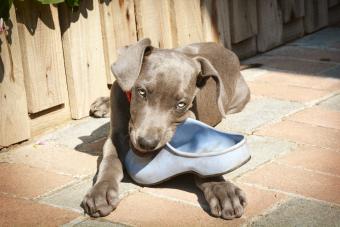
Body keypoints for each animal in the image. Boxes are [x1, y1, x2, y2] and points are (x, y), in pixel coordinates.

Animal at [83, 38, 250, 220]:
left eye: (181, 104)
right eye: (142, 92)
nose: (147, 143)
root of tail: (226, 50)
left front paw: (223, 189)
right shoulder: (115, 136)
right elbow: (110, 161)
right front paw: (101, 191)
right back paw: (103, 103)